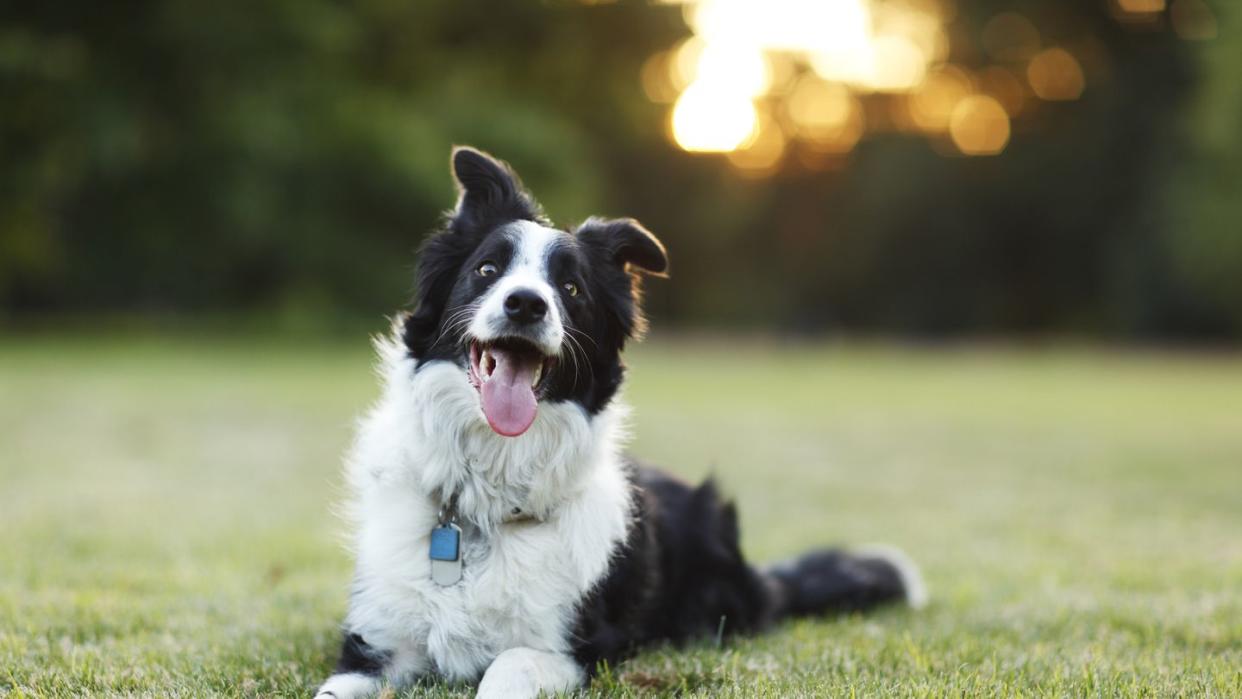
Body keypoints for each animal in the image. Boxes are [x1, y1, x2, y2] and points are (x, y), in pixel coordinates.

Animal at [315, 148, 929, 699]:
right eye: (487, 270)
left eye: (571, 289)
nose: (525, 304)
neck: (485, 503)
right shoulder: (374, 647)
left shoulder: (581, 649)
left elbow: (509, 664)